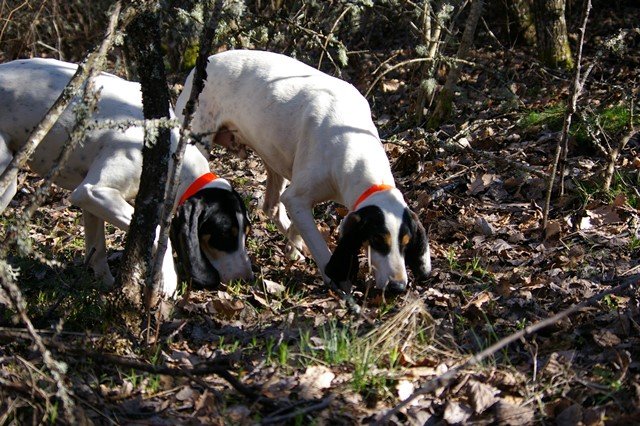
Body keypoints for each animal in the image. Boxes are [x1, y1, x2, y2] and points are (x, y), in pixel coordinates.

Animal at [0, 58, 254, 296]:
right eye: (224, 234)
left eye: (246, 234)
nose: (248, 279)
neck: (171, 154)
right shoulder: (93, 192)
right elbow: (157, 234)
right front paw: (168, 281)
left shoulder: (91, 204)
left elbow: (98, 252)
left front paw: (107, 288)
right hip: (7, 183)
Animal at [178, 48, 432, 292]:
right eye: (378, 240)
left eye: (406, 243)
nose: (398, 287)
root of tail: (206, 61)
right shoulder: (297, 197)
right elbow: (319, 246)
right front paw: (336, 280)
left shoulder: (298, 200)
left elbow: (298, 226)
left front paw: (294, 245)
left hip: (272, 157)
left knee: (271, 207)